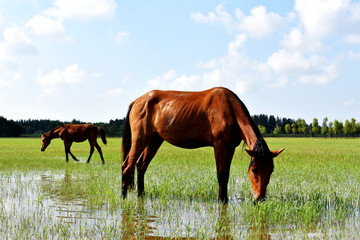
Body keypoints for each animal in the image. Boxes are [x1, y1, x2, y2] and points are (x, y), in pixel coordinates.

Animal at [121, 86, 284, 202]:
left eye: (271, 170)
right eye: (254, 170)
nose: (260, 199)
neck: (230, 109)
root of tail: (137, 101)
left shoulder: (230, 147)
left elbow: (226, 174)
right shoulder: (220, 145)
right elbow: (221, 174)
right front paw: (222, 201)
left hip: (155, 140)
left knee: (140, 166)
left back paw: (141, 196)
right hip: (141, 138)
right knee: (127, 166)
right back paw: (123, 197)